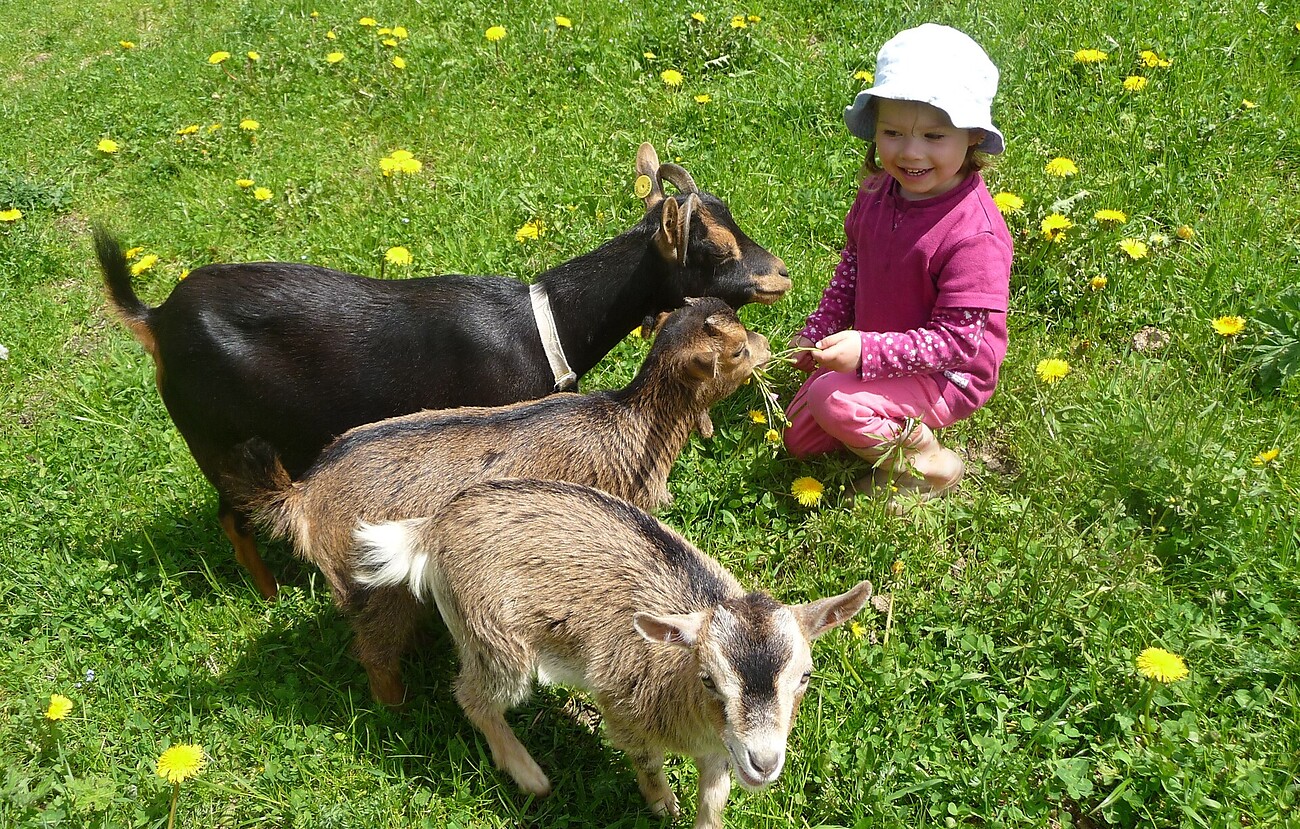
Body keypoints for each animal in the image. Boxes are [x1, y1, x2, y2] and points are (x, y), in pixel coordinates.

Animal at [96, 142, 790, 600]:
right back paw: (268, 594)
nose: (780, 274)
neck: (540, 325)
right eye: (713, 247)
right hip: (216, 437)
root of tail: (156, 319)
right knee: (231, 515)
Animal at [226, 296, 770, 704]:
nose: (767, 343)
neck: (630, 425)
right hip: (367, 585)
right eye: (737, 351)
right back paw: (397, 706)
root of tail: (302, 495)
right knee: (374, 650)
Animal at [354, 477, 873, 829]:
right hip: (493, 637)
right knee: (473, 696)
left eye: (805, 677)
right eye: (707, 678)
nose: (764, 763)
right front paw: (663, 804)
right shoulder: (623, 709)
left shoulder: (721, 749)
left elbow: (715, 796)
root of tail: (433, 528)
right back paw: (531, 776)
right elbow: (648, 763)